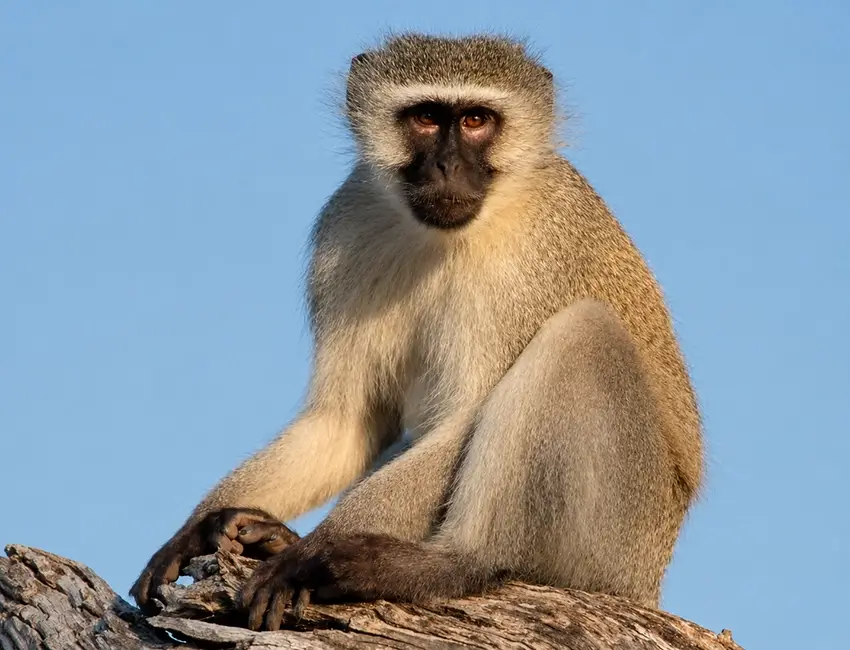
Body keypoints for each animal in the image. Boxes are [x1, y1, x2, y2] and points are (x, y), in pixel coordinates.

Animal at [130, 33, 704, 632]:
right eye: (426, 118)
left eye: (476, 120)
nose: (448, 165)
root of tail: (649, 581)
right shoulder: (346, 226)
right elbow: (344, 420)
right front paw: (197, 530)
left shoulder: (530, 262)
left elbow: (462, 421)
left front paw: (313, 552)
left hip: (618, 530)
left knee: (583, 333)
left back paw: (445, 565)